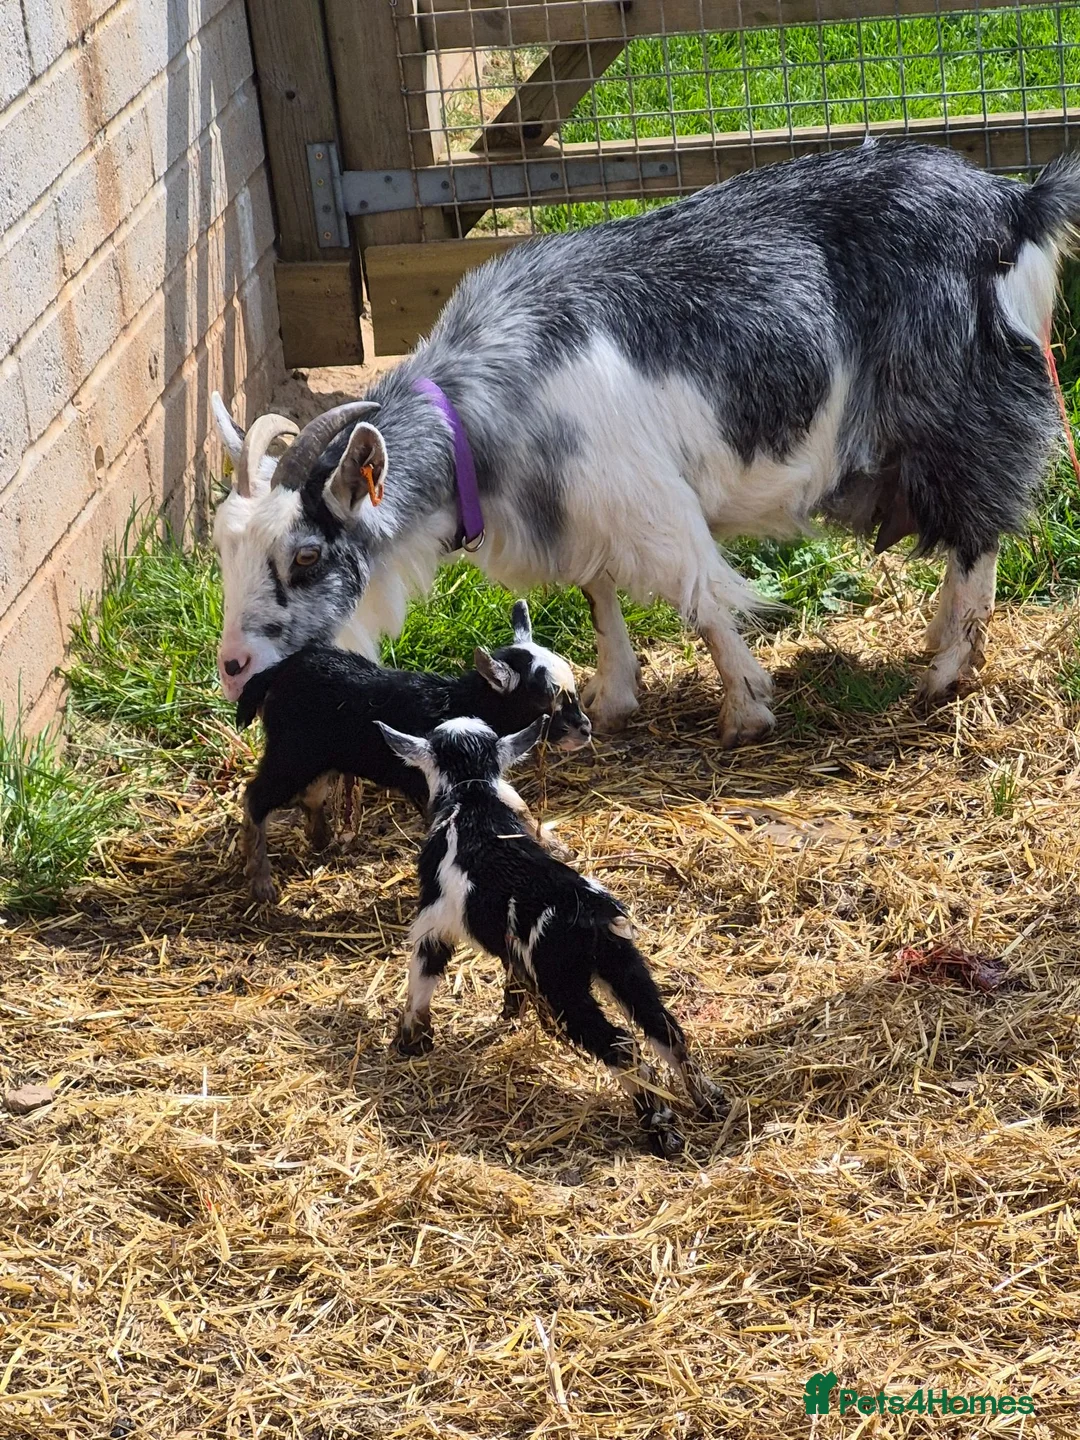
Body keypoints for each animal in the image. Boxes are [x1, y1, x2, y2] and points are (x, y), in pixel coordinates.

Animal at [212, 144, 1080, 745]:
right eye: (224, 548)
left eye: (306, 555)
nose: (233, 667)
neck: (482, 409)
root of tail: (1014, 204)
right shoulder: (580, 513)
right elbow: (598, 598)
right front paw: (615, 695)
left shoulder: (647, 503)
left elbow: (701, 599)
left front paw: (746, 710)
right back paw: (939, 644)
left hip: (961, 418)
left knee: (978, 536)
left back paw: (946, 672)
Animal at [235, 600, 591, 901]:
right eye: (544, 702)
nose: (585, 730)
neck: (465, 703)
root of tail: (275, 673)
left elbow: (516, 803)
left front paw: (556, 847)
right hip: (293, 754)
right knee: (256, 796)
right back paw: (261, 879)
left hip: (318, 755)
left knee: (310, 794)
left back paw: (320, 838)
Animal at [376, 715, 724, 1157]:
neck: (472, 798)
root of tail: (593, 913)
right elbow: (511, 977)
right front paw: (509, 1014)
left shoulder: (433, 923)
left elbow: (421, 979)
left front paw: (409, 1041)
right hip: (623, 965)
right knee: (664, 1027)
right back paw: (709, 1101)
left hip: (564, 986)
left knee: (622, 1045)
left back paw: (661, 1128)